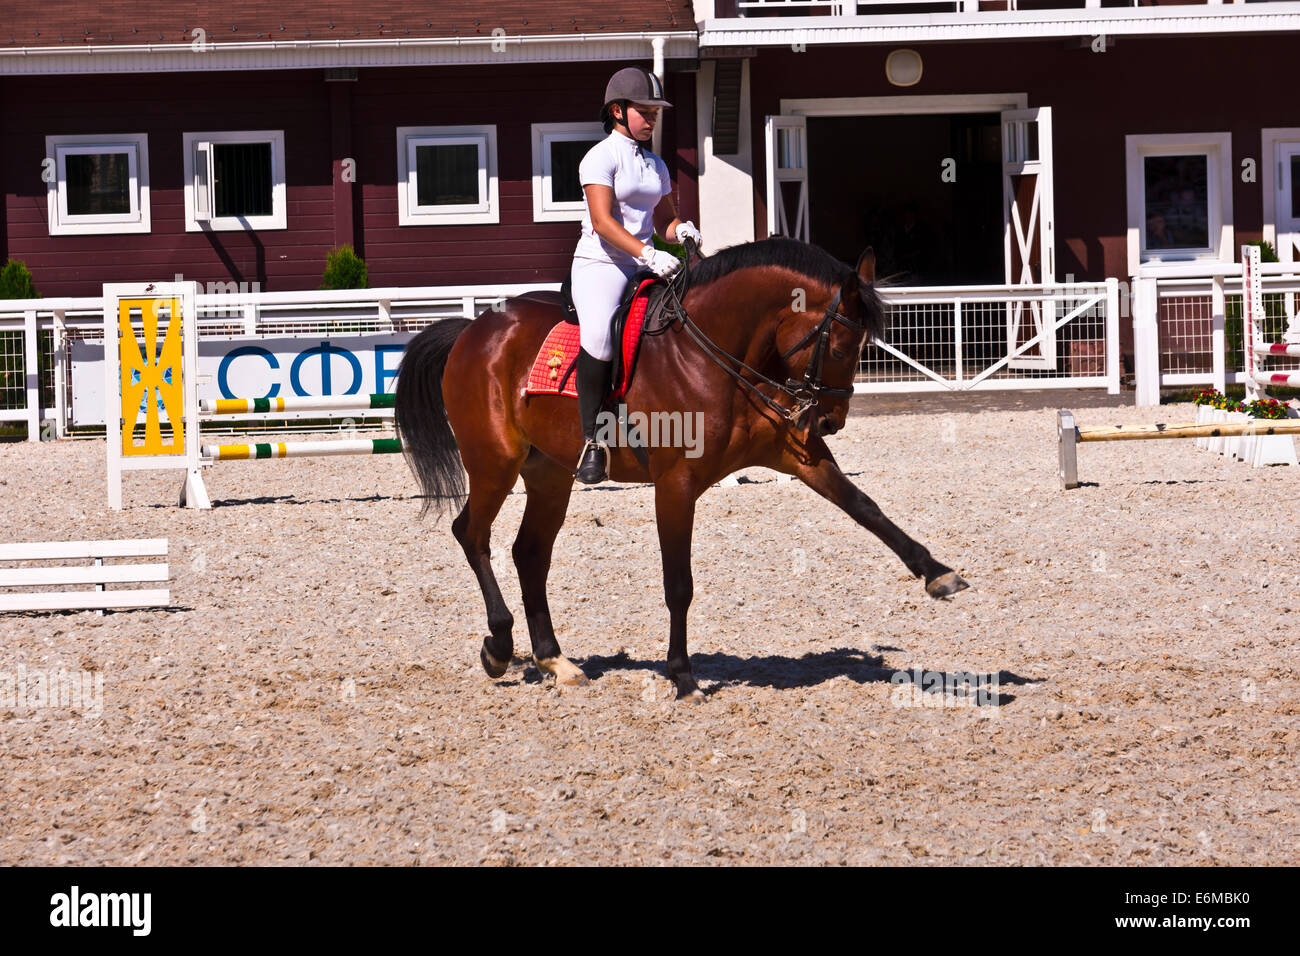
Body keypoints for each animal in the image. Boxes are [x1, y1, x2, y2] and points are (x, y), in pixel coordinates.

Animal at [394, 237, 969, 701]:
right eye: (842, 344)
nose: (830, 420)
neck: (718, 355)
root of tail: (474, 329)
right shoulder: (675, 485)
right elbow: (679, 583)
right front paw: (683, 675)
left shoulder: (796, 454)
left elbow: (866, 508)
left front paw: (937, 573)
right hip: (495, 464)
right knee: (472, 534)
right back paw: (498, 644)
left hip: (549, 475)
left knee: (529, 553)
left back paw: (555, 660)